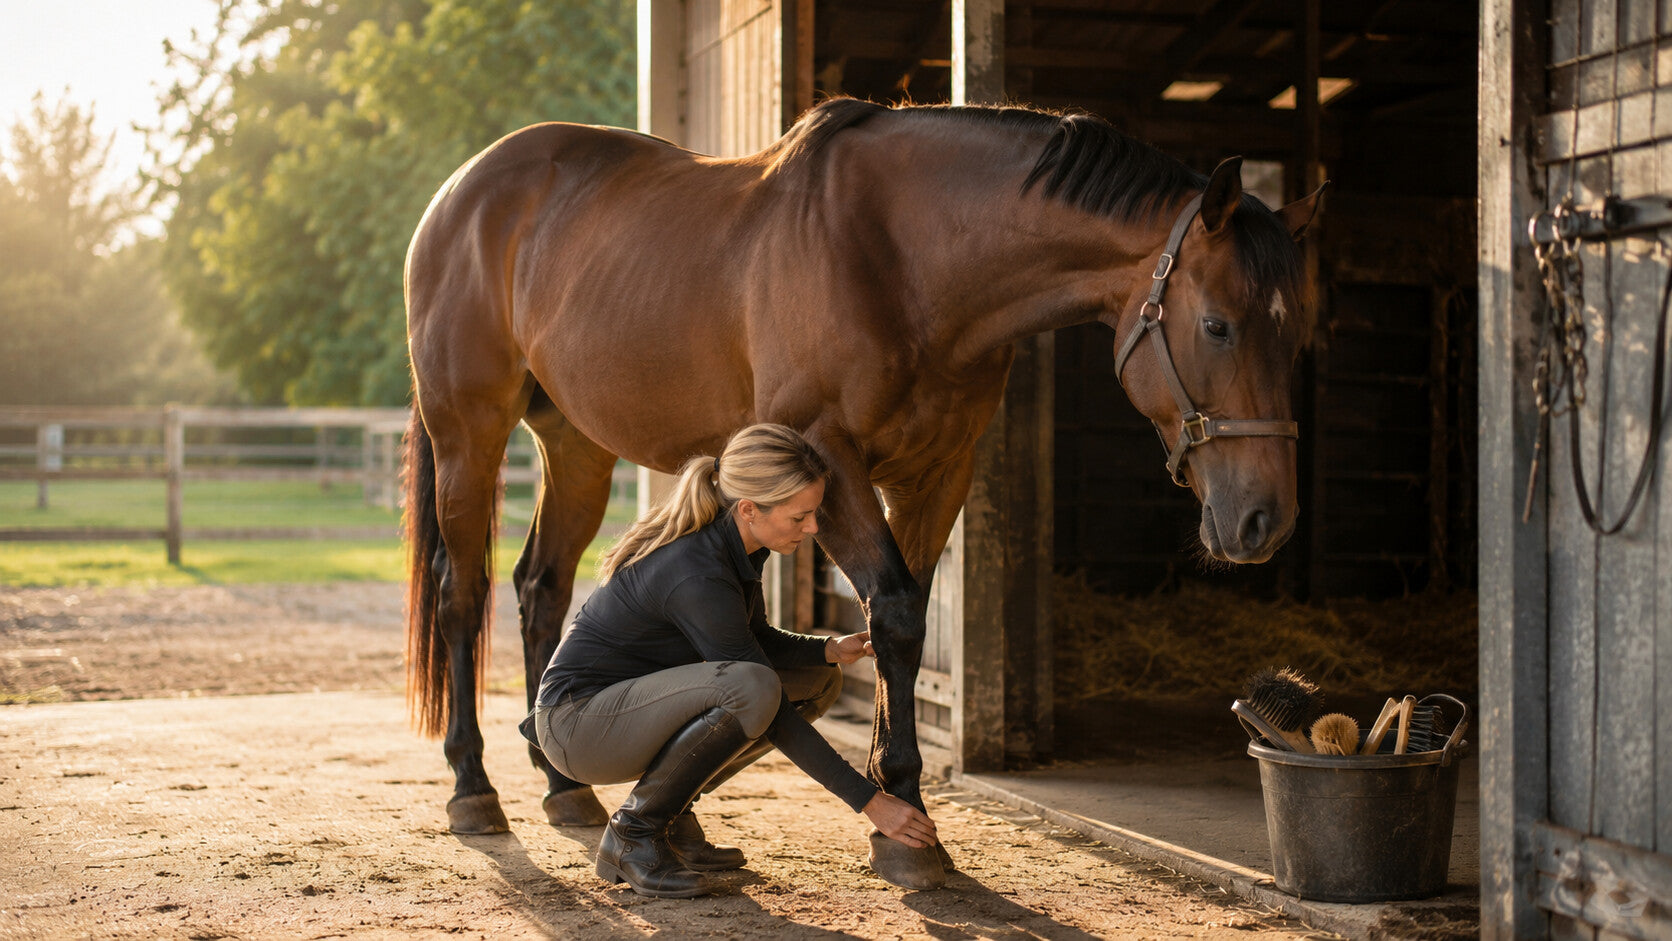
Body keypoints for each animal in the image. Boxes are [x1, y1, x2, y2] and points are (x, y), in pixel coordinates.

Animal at [401, 97, 1323, 889]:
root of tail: (459, 191)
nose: (1264, 521)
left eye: (1298, 335)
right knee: (463, 594)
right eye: (1216, 325)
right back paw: (473, 786)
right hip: (469, 432)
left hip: (577, 446)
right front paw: (905, 814)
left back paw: (563, 783)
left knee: (541, 588)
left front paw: (897, 810)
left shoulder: (938, 473)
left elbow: (896, 628)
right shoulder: (828, 460)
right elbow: (896, 611)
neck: (905, 254)